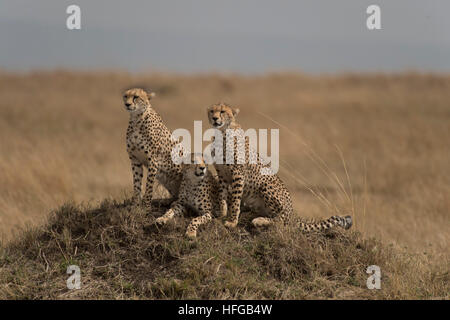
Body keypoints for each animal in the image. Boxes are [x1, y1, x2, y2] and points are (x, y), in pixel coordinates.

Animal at [207, 104, 352, 231]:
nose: (214, 118)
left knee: (282, 221)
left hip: (266, 184)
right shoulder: (222, 174)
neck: (222, 133)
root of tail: (292, 213)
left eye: (222, 111)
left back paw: (260, 220)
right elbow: (222, 195)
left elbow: (235, 200)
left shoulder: (238, 174)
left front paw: (232, 222)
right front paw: (222, 214)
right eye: (212, 111)